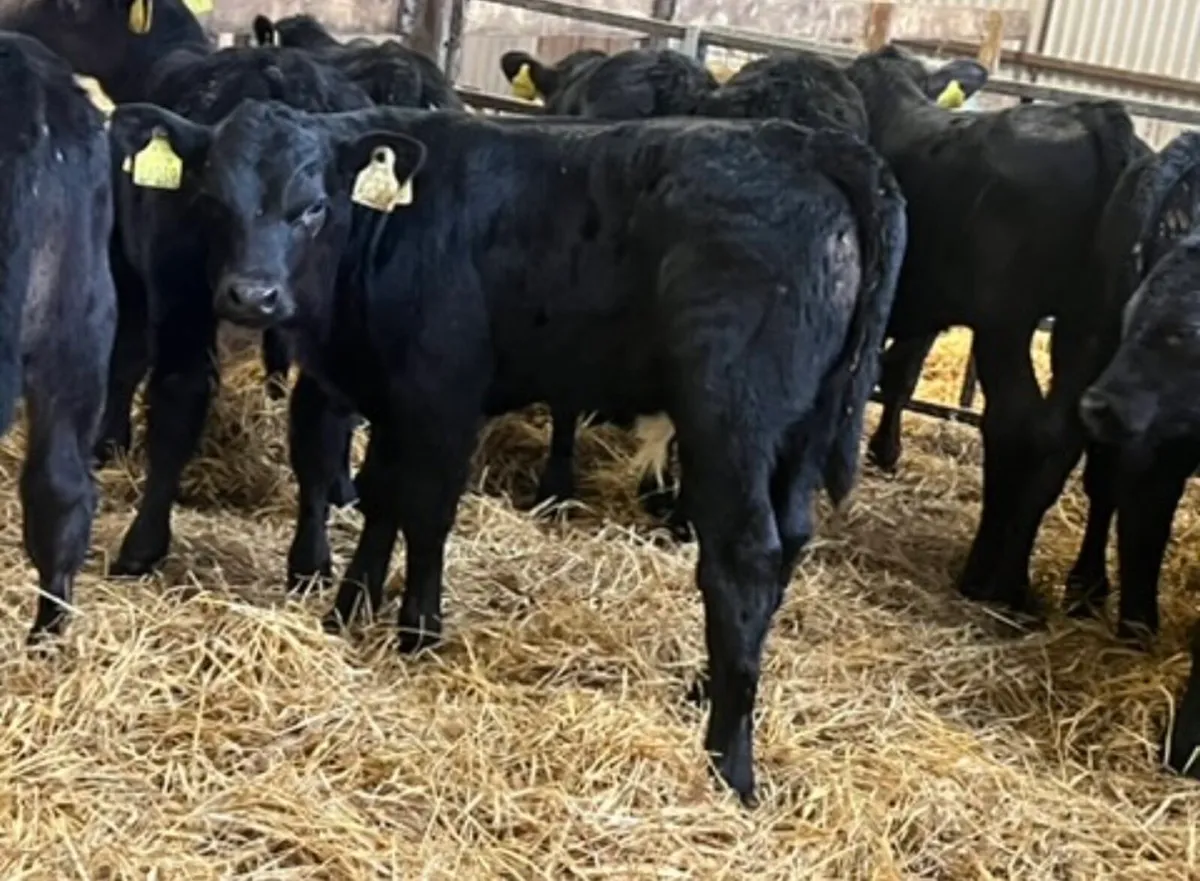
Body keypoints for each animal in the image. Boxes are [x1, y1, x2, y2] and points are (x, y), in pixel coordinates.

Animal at [106, 100, 907, 803]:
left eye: (311, 207)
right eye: (213, 201)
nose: (252, 296)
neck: (384, 235)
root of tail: (812, 144)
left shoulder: (443, 388)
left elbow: (427, 508)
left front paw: (417, 629)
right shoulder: (390, 392)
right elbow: (381, 494)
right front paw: (349, 606)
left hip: (733, 418)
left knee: (745, 559)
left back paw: (728, 762)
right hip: (802, 431)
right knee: (791, 541)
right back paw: (707, 688)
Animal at [844, 44, 1142, 615]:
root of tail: (1092, 119)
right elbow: (899, 375)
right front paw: (884, 451)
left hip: (1007, 318)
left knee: (1016, 423)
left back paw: (987, 577)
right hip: (1087, 323)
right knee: (1064, 436)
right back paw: (1025, 582)